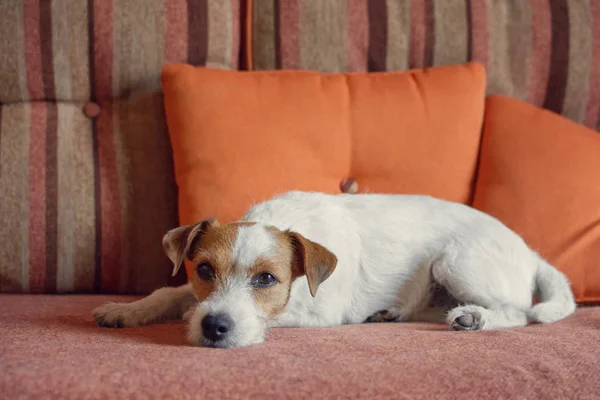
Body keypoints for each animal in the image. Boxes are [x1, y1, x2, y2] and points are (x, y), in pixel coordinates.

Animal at [92, 191, 576, 346]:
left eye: (267, 279)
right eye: (204, 271)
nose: (214, 327)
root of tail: (529, 250)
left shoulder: (320, 311)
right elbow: (172, 293)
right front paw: (126, 309)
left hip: (456, 260)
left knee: (517, 313)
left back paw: (475, 318)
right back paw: (392, 312)